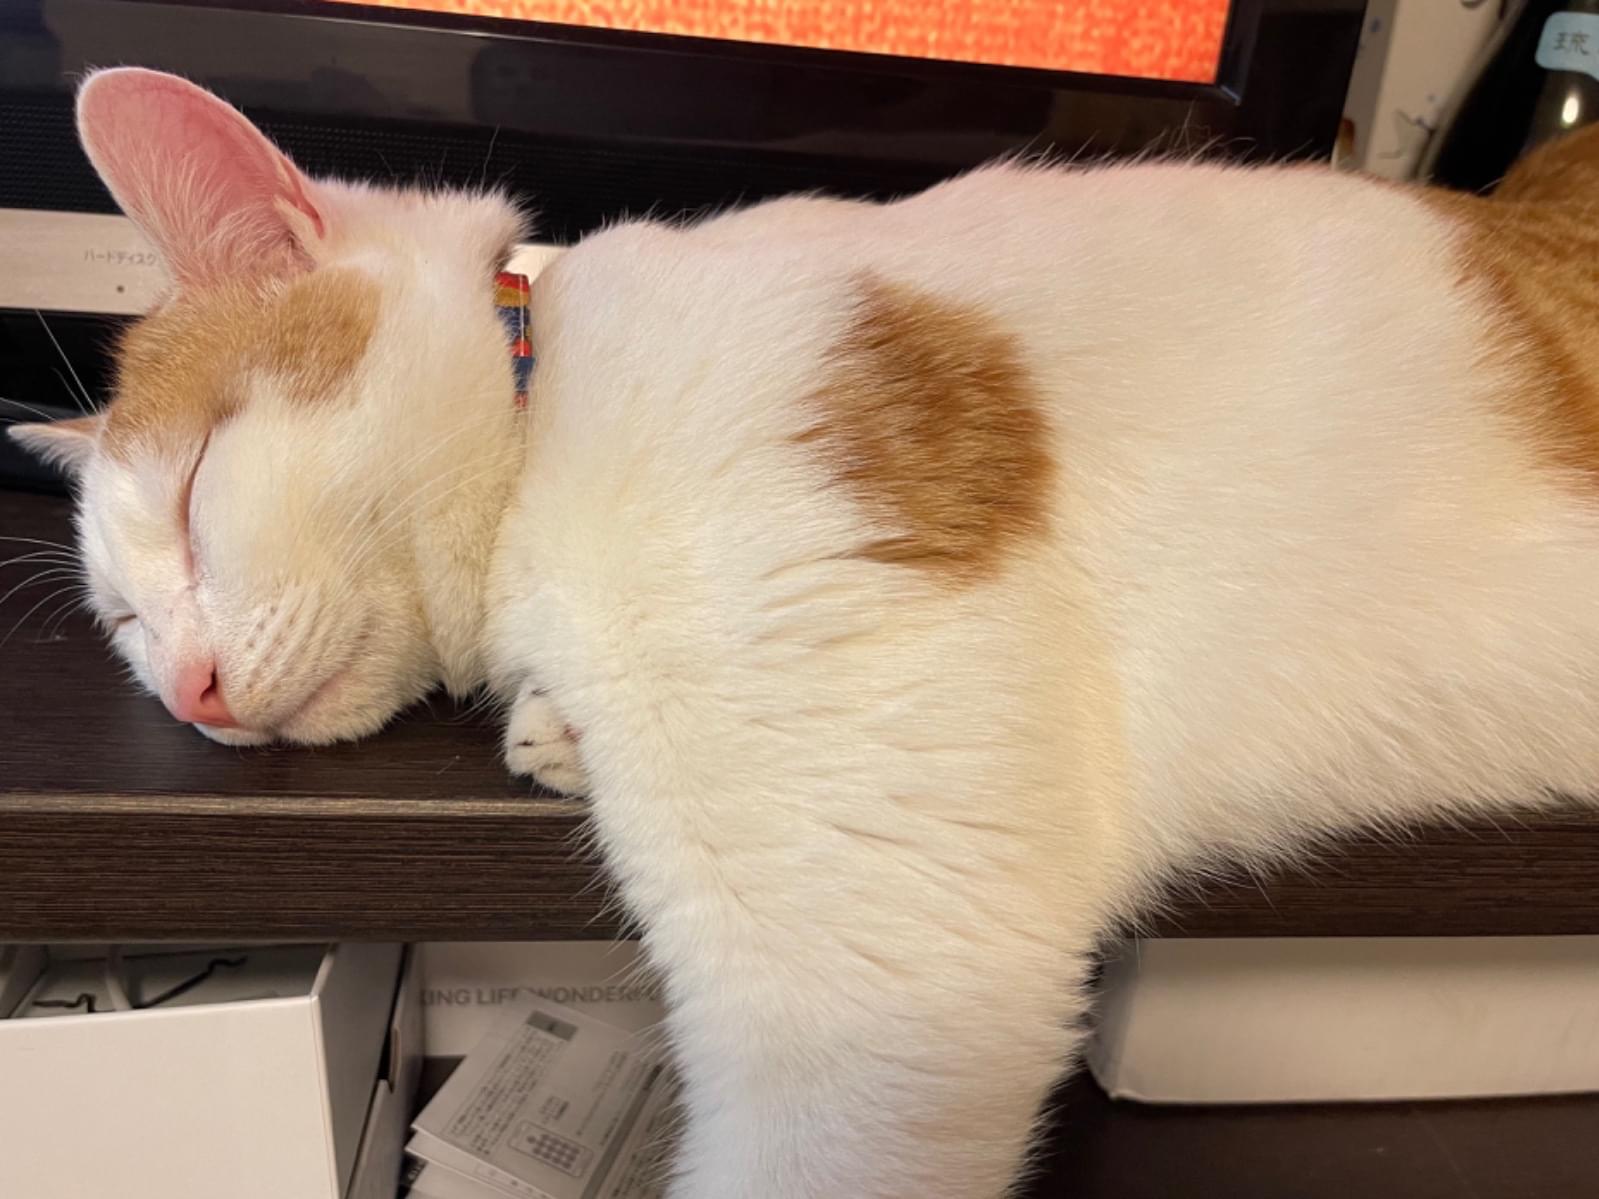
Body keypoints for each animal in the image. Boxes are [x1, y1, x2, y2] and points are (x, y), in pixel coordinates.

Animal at [12, 67, 1599, 1198]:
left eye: (197, 493)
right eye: (126, 622)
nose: (194, 689)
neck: (548, 397)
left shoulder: (877, 967)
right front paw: (554, 732)